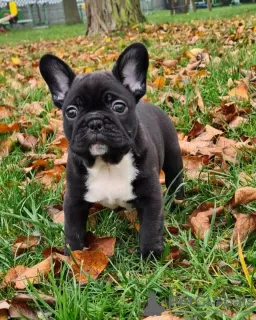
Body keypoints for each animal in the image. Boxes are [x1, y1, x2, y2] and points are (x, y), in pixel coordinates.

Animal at [39, 42, 184, 258]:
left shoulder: (151, 197)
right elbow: (73, 231)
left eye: (119, 106)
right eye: (71, 112)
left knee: (175, 179)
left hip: (173, 158)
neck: (107, 162)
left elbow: (151, 228)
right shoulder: (74, 201)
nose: (94, 121)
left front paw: (150, 256)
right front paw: (73, 258)